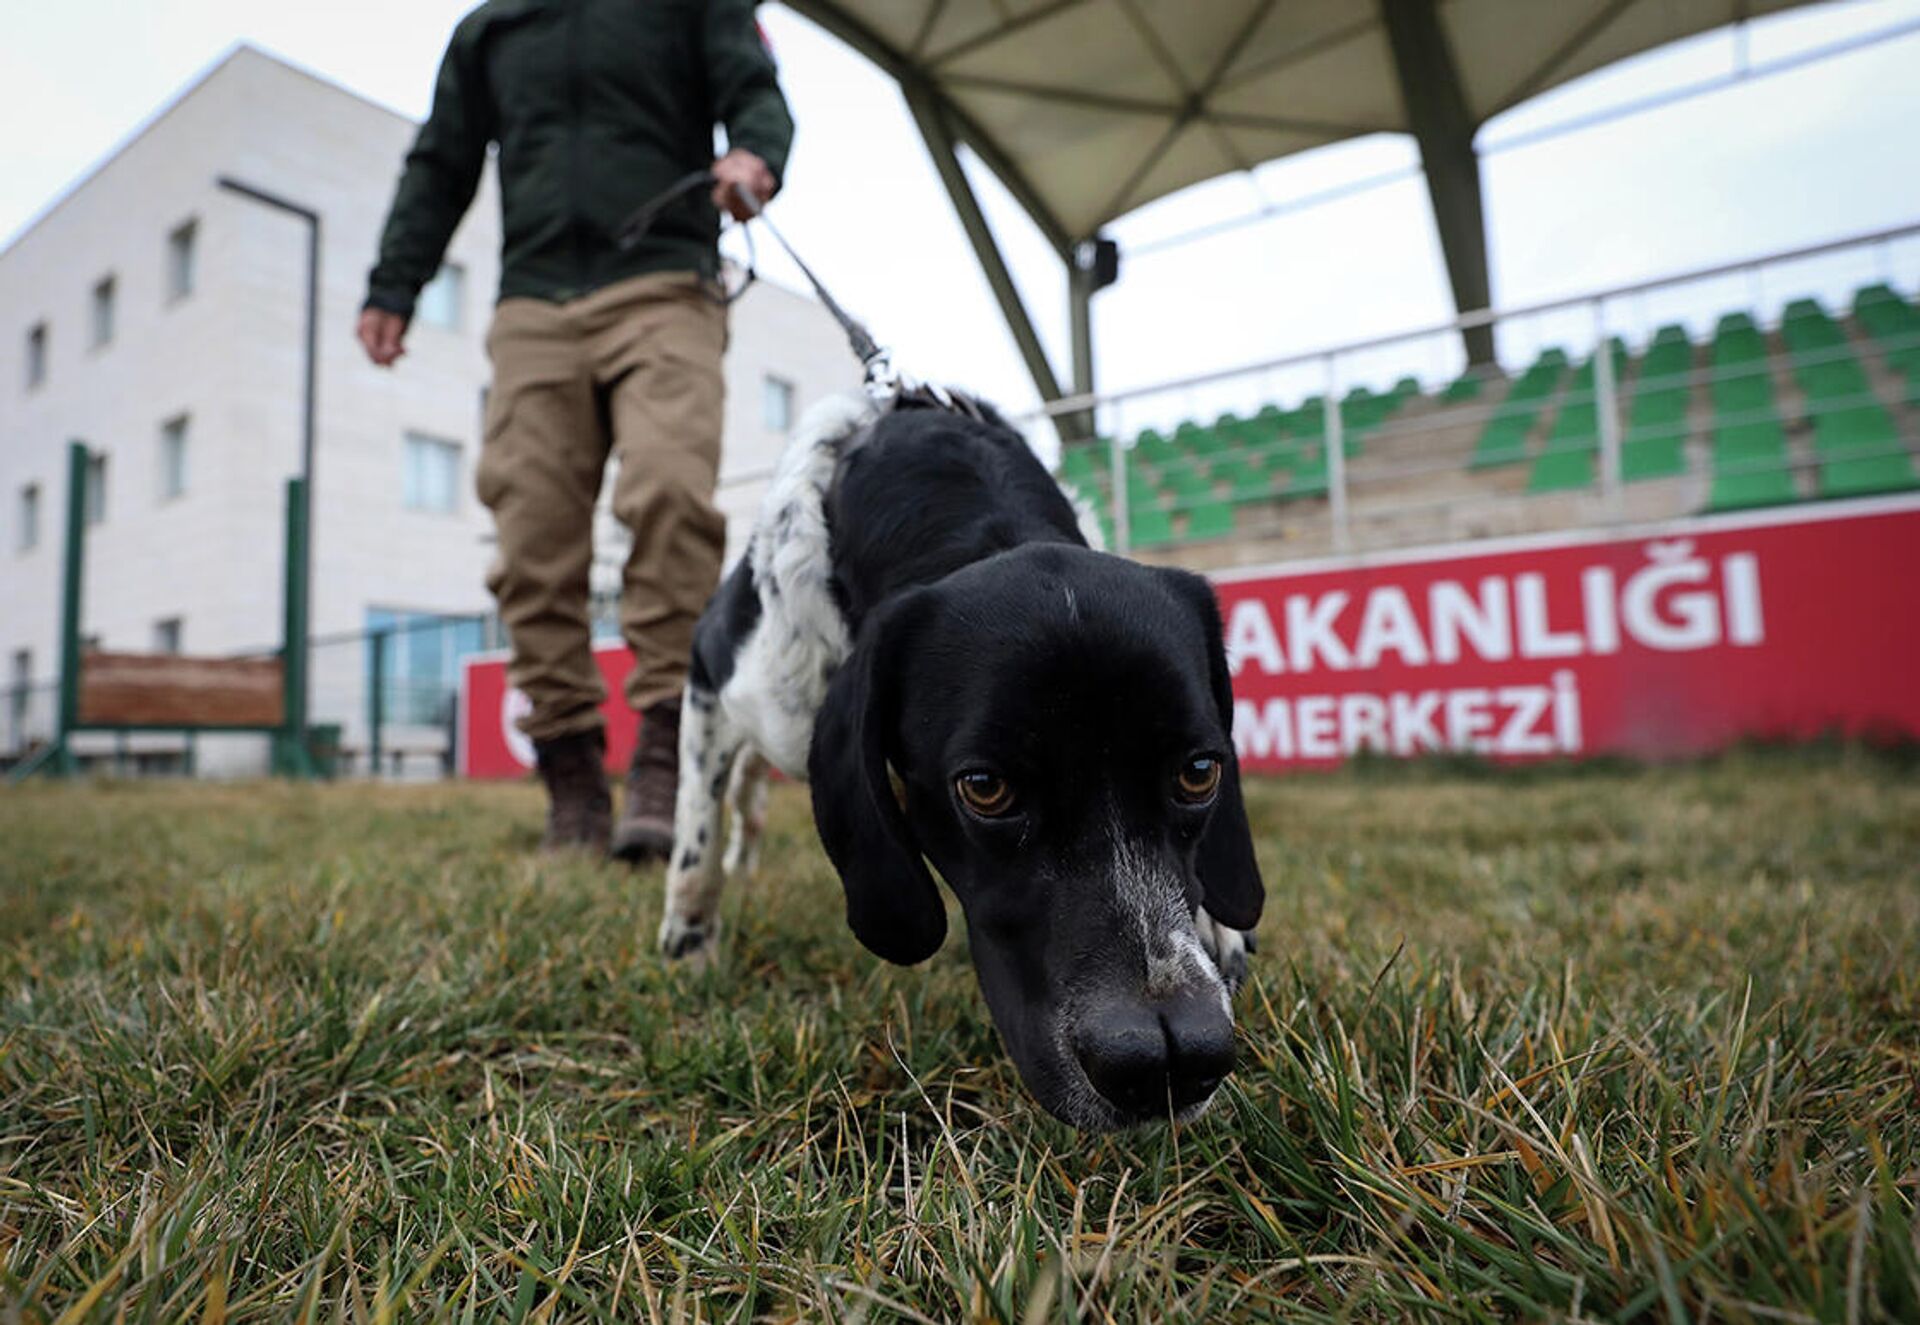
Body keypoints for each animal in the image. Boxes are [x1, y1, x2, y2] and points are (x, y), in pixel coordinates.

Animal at [660, 391, 1259, 1121]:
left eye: (1199, 771)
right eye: (984, 787)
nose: (1172, 1057)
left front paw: (1219, 925)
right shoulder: (711, 676)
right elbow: (694, 838)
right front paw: (689, 946)